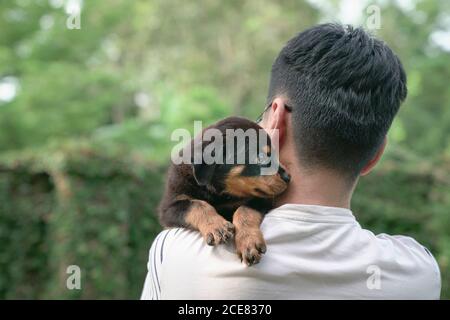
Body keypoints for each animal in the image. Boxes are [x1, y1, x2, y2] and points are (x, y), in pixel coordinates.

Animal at [160, 116, 290, 264]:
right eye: (260, 157)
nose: (288, 177)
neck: (221, 194)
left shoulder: (263, 199)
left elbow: (244, 210)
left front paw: (248, 241)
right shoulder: (169, 207)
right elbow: (197, 205)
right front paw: (217, 227)